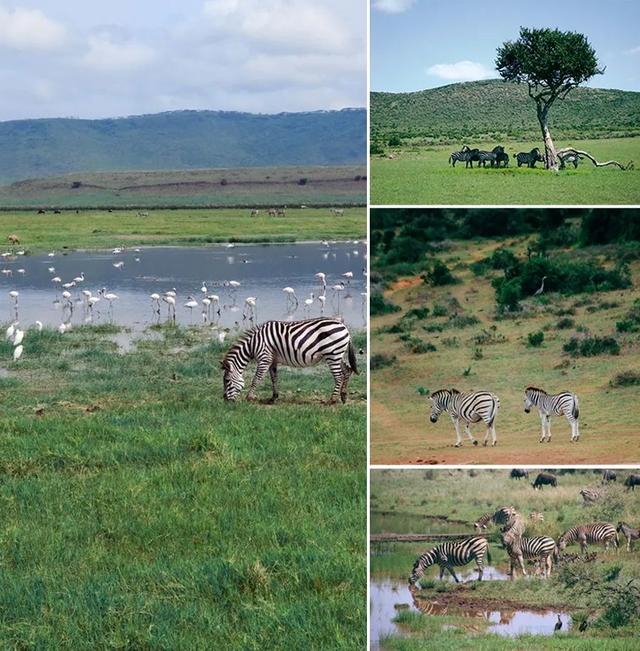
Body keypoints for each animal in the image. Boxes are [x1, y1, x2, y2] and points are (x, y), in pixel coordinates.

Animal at [222, 318, 358, 404]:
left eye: (227, 381)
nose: (225, 400)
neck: (254, 344)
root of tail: (344, 327)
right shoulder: (272, 360)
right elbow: (274, 378)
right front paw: (273, 398)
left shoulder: (265, 358)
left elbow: (257, 378)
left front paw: (249, 397)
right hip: (336, 354)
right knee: (347, 370)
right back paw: (343, 396)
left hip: (332, 354)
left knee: (339, 376)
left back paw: (332, 400)